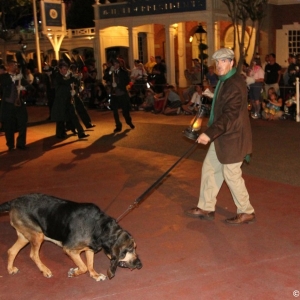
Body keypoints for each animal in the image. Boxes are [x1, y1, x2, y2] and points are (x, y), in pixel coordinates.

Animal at [0, 193, 142, 280]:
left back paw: (10, 269)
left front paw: (95, 275)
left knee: (11, 251)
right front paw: (74, 273)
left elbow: (90, 265)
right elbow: (83, 267)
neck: (100, 228)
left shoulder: (89, 249)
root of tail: (13, 201)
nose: (140, 265)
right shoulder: (69, 250)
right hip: (37, 235)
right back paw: (45, 270)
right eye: (130, 249)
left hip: (25, 236)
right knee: (33, 255)